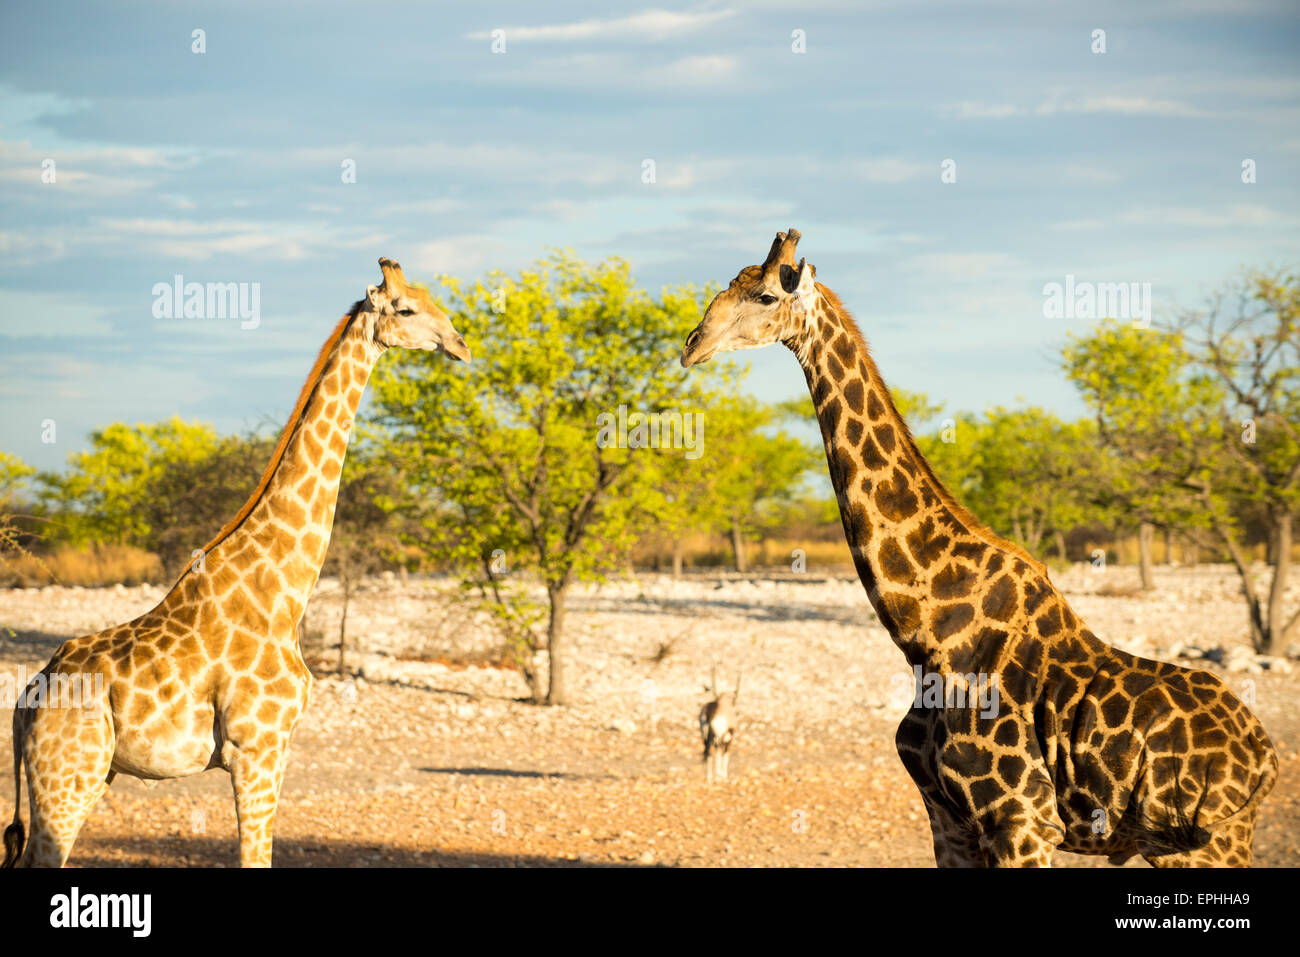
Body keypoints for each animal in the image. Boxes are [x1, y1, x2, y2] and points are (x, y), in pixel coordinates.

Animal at [2, 256, 470, 868]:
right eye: (407, 309)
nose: (460, 344)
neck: (285, 590)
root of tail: (25, 702)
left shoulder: (268, 750)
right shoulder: (257, 748)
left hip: (90, 776)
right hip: (66, 779)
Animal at [681, 226, 1279, 868]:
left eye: (767, 295)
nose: (692, 345)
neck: (923, 631)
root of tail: (1266, 761)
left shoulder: (1021, 819)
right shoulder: (949, 818)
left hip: (1200, 845)